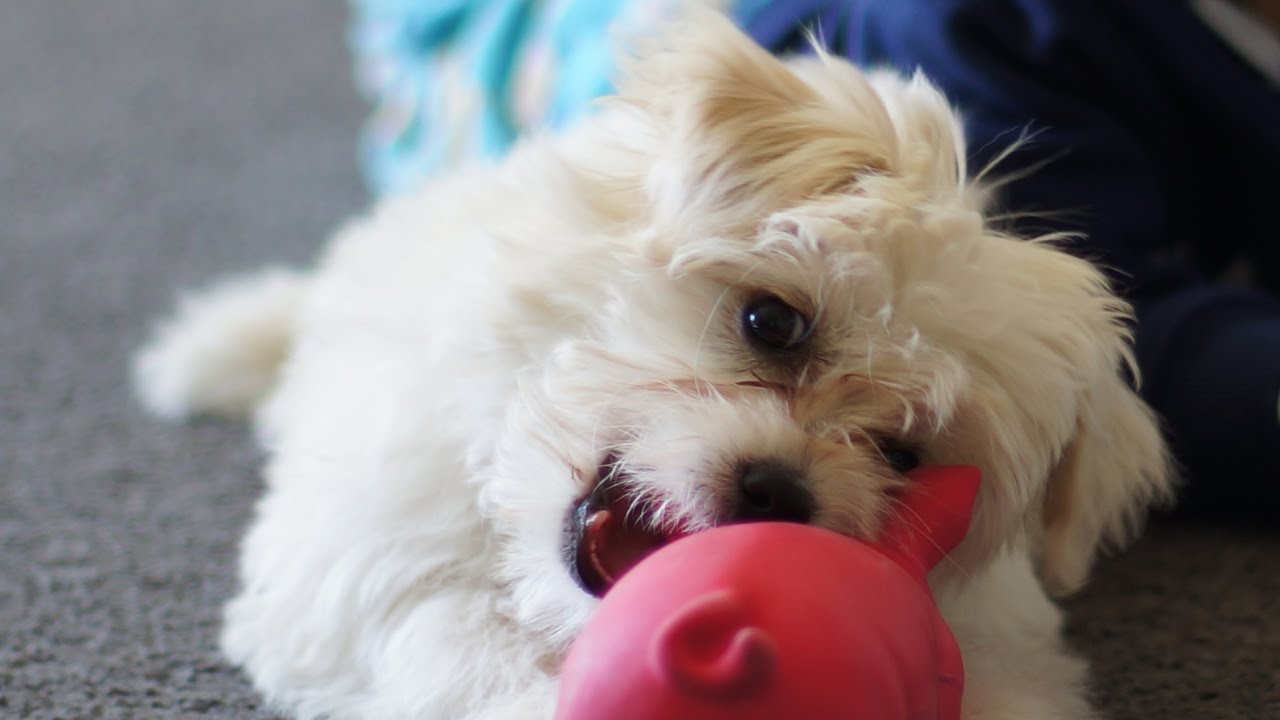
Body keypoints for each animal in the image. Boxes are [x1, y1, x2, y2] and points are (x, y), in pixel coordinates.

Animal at [137, 12, 1172, 717]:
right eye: (772, 321)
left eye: (905, 456)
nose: (777, 490)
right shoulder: (363, 552)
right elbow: (447, 637)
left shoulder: (1004, 651)